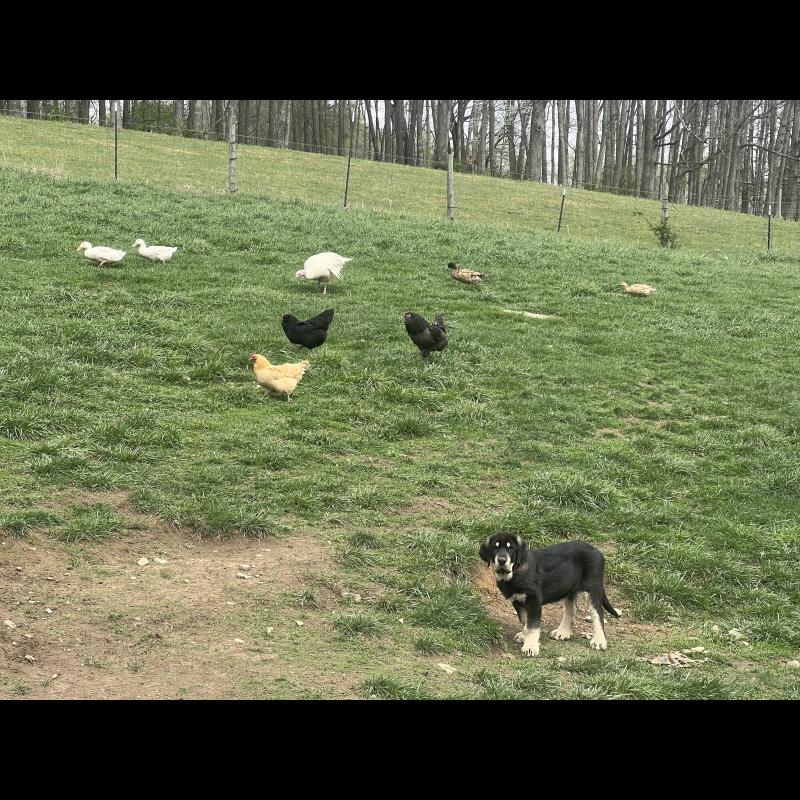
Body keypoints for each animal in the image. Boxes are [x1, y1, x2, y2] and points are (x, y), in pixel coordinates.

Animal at [479, 532, 620, 657]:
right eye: (495, 548)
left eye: (510, 548)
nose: (502, 560)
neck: (514, 573)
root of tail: (596, 550)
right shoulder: (517, 601)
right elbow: (525, 621)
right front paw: (525, 636)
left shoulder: (534, 600)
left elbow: (532, 625)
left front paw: (530, 647)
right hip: (569, 588)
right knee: (571, 609)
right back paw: (563, 632)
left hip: (592, 587)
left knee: (597, 613)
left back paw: (599, 641)